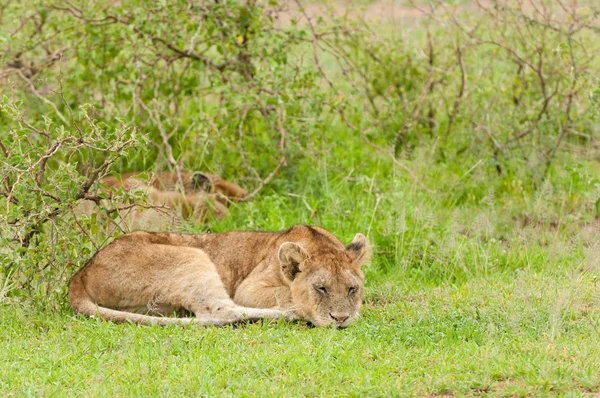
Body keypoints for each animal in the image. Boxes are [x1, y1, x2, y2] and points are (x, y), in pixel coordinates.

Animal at [70, 225, 370, 328]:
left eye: (352, 289)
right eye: (321, 288)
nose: (341, 319)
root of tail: (81, 275)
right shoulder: (249, 288)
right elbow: (287, 295)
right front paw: (303, 309)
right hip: (191, 257)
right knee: (222, 312)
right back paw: (291, 315)